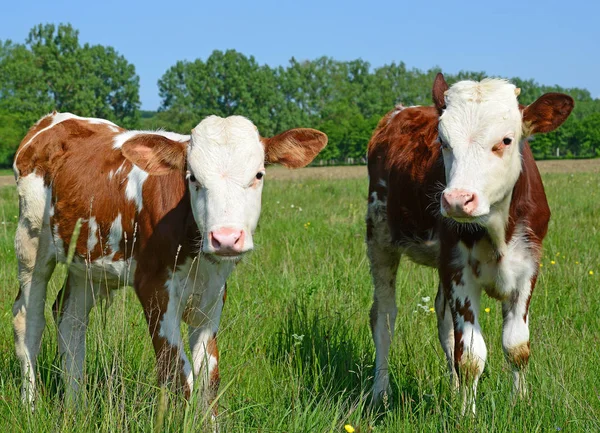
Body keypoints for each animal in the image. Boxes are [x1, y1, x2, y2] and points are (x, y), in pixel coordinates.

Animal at [364, 72, 576, 410]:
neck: (497, 228)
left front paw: (519, 403)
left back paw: (451, 390)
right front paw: (467, 413)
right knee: (384, 317)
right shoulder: (457, 269)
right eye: (443, 141)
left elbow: (517, 346)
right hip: (379, 238)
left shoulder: (529, 267)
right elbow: (471, 357)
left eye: (505, 140)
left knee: (442, 319)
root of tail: (400, 111)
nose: (456, 199)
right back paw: (380, 393)